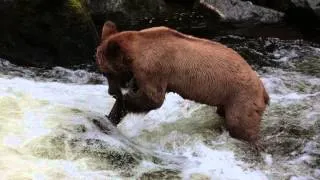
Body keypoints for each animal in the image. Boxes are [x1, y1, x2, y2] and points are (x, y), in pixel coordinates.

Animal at [95, 20, 270, 148]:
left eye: (108, 72)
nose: (111, 92)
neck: (136, 53)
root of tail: (263, 90)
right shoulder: (141, 74)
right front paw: (109, 117)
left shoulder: (154, 69)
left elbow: (153, 99)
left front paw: (122, 103)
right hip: (228, 99)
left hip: (241, 97)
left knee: (240, 124)